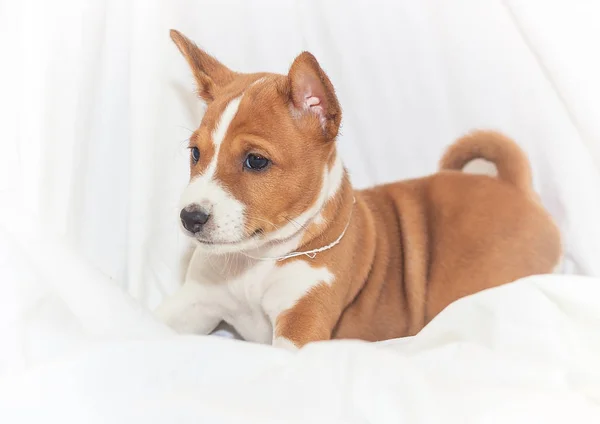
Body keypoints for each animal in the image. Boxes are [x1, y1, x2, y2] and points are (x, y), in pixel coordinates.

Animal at [155, 29, 564, 348]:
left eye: (256, 161)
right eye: (195, 153)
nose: (190, 217)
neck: (255, 261)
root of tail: (512, 185)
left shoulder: (301, 324)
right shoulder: (194, 304)